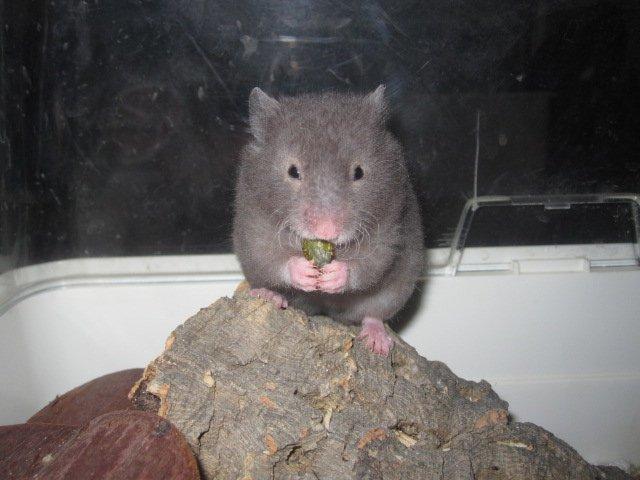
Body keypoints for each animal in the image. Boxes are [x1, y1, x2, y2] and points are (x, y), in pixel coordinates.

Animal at [233, 86, 424, 356]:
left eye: (359, 172)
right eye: (293, 171)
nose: (327, 230)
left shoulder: (388, 229)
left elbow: (370, 264)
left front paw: (332, 275)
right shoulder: (254, 225)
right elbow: (272, 258)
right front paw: (306, 273)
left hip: (394, 293)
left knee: (373, 314)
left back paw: (378, 342)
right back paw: (271, 297)